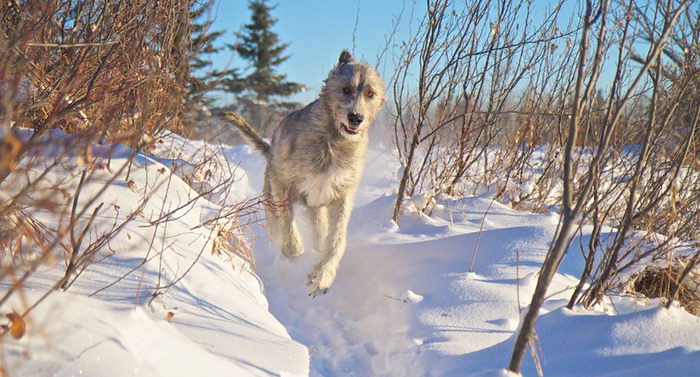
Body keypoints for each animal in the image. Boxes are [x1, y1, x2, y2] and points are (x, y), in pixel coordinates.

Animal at [224, 50, 386, 296]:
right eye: (345, 89)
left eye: (370, 93)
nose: (356, 118)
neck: (332, 141)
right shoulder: (281, 181)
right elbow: (286, 219)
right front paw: (293, 249)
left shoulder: (341, 194)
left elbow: (337, 238)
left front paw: (322, 276)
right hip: (270, 196)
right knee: (276, 227)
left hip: (316, 212)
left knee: (320, 234)